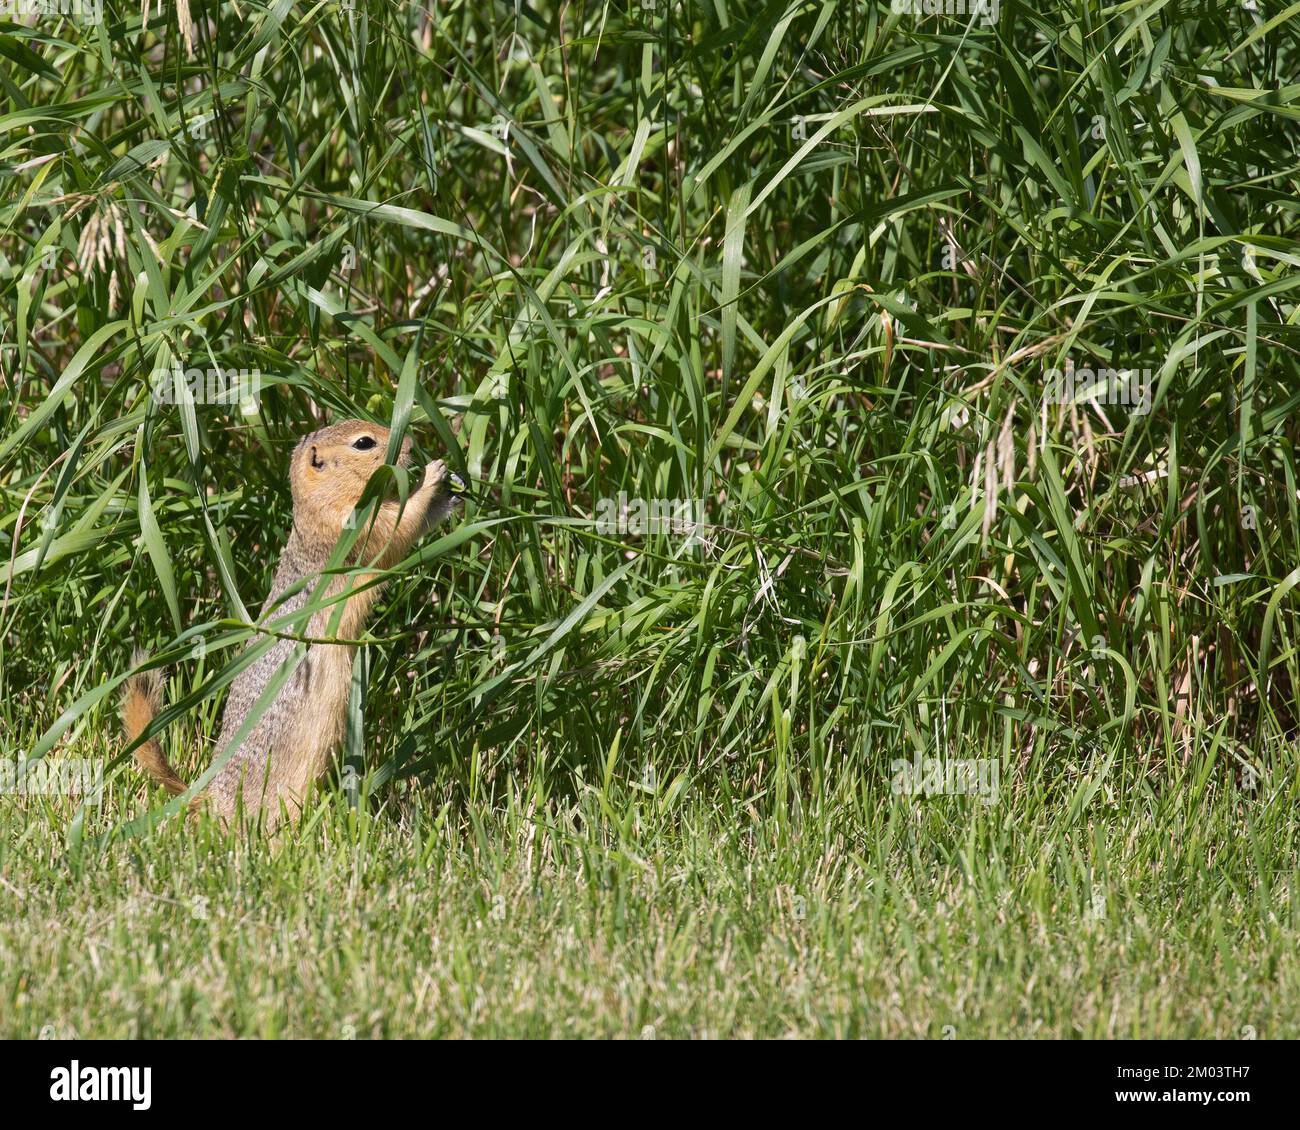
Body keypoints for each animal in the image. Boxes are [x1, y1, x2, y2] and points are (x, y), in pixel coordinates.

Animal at [121, 419, 464, 829]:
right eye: (364, 443)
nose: (410, 442)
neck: (316, 507)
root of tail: (209, 797)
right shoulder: (358, 527)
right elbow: (399, 527)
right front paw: (432, 476)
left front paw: (453, 492)